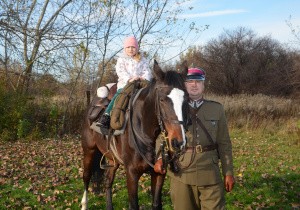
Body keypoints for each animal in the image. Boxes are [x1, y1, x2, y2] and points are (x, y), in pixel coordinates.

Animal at [81, 60, 189, 209]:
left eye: (186, 99)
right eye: (162, 100)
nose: (178, 143)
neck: (146, 133)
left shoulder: (159, 172)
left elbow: (156, 204)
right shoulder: (131, 173)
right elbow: (133, 205)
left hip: (112, 159)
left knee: (108, 180)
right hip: (89, 150)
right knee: (86, 176)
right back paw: (84, 204)